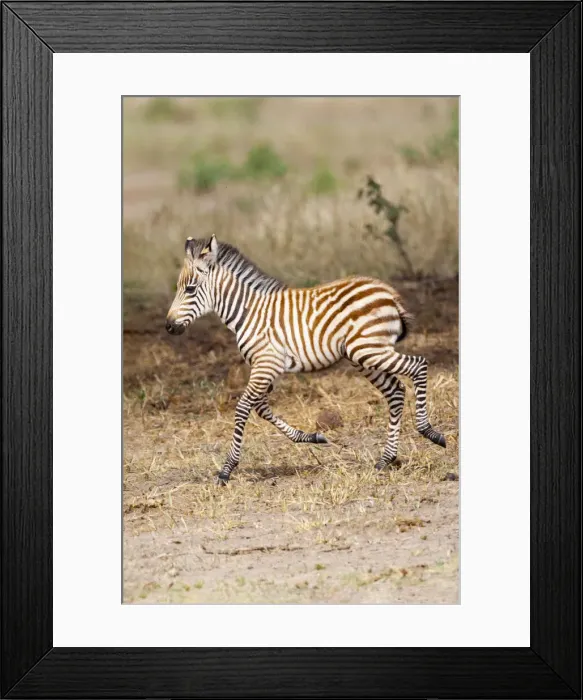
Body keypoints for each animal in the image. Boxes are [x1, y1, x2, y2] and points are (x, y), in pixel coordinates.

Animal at [166, 235, 446, 484]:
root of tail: (388, 292)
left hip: (368, 350)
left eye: (190, 289)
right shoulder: (266, 367)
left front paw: (226, 470)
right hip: (364, 355)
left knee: (419, 365)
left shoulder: (265, 364)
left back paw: (430, 432)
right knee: (396, 391)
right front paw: (311, 437)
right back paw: (386, 459)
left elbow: (244, 407)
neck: (248, 312)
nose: (168, 327)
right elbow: (261, 408)